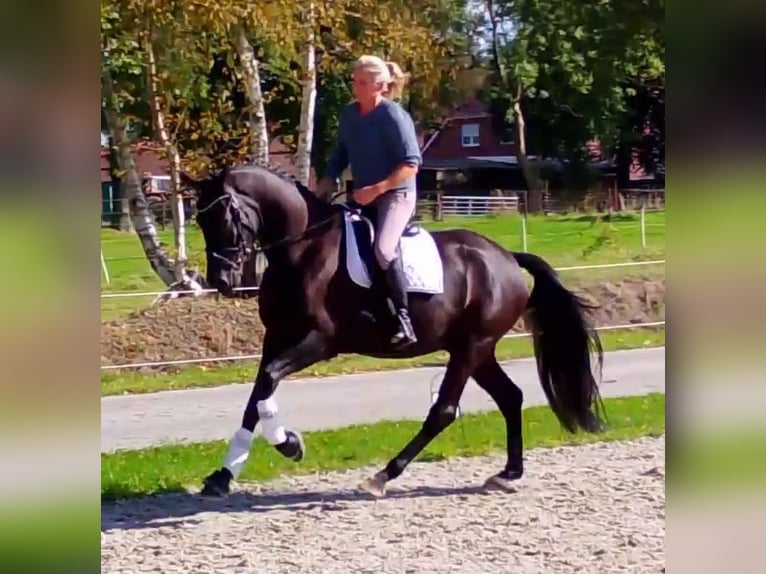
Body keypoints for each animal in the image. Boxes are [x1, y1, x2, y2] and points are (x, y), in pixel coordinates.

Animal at [180, 163, 608, 500]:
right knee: (510, 397)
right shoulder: (277, 338)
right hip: (477, 350)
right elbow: (256, 398)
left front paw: (289, 445)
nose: (220, 281)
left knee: (444, 411)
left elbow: (267, 385)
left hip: (471, 348)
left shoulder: (320, 342)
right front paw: (222, 477)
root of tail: (504, 257)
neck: (301, 251)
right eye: (199, 220)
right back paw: (508, 473)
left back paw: (383, 476)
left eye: (225, 217)